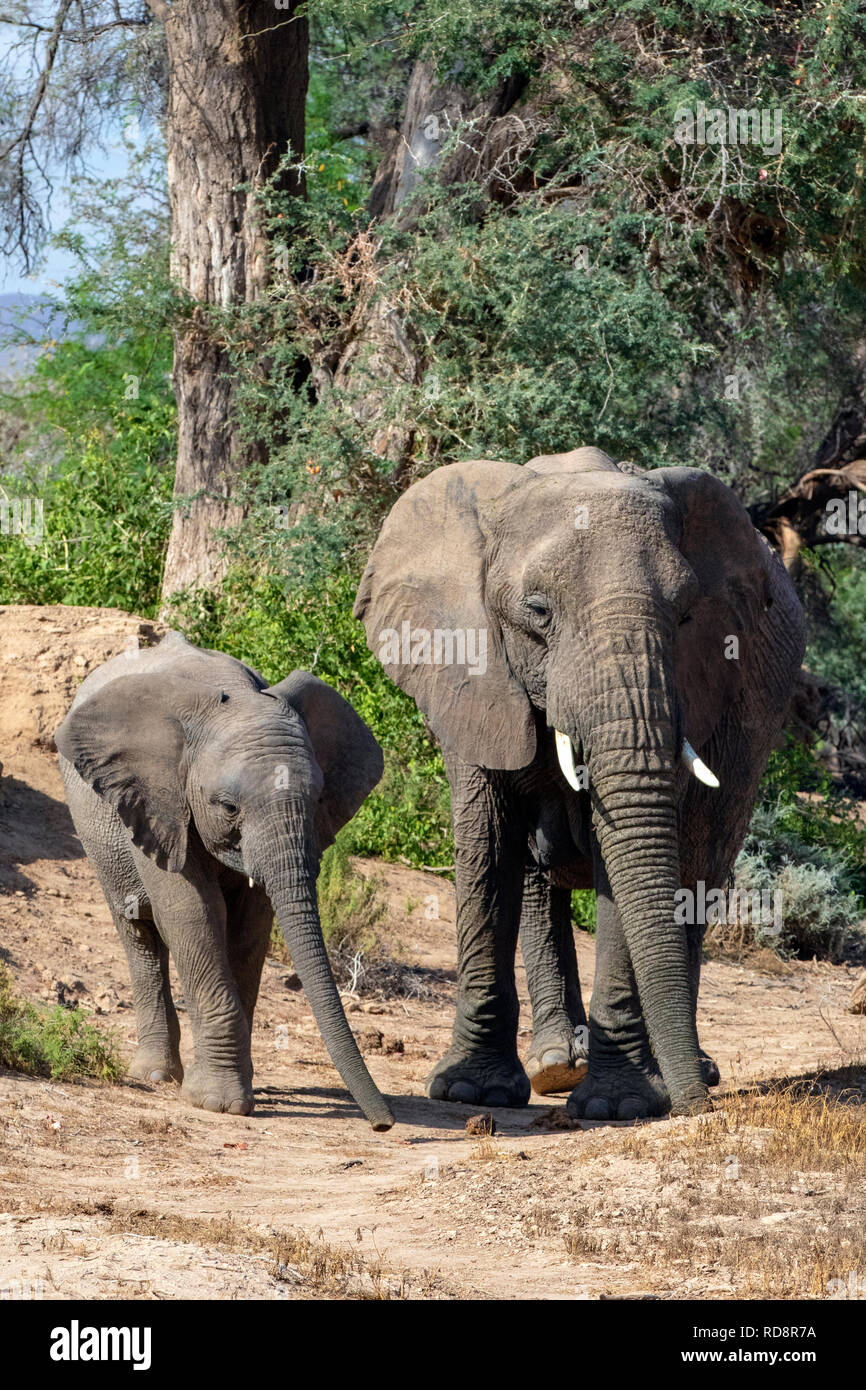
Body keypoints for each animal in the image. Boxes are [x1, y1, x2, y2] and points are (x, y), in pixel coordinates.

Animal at [59, 631, 397, 1128]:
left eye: (317, 799)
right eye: (228, 806)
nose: (383, 1122)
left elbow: (251, 924)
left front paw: (237, 1089)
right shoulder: (159, 797)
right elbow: (193, 913)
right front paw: (218, 1104)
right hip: (95, 827)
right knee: (138, 931)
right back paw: (155, 1076)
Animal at [354, 450, 806, 1123]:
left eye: (686, 615)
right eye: (538, 611)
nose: (695, 1109)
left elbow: (625, 853)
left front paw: (622, 1104)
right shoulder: (471, 675)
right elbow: (488, 848)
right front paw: (471, 1092)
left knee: (699, 870)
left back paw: (672, 1068)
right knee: (539, 880)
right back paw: (558, 1065)